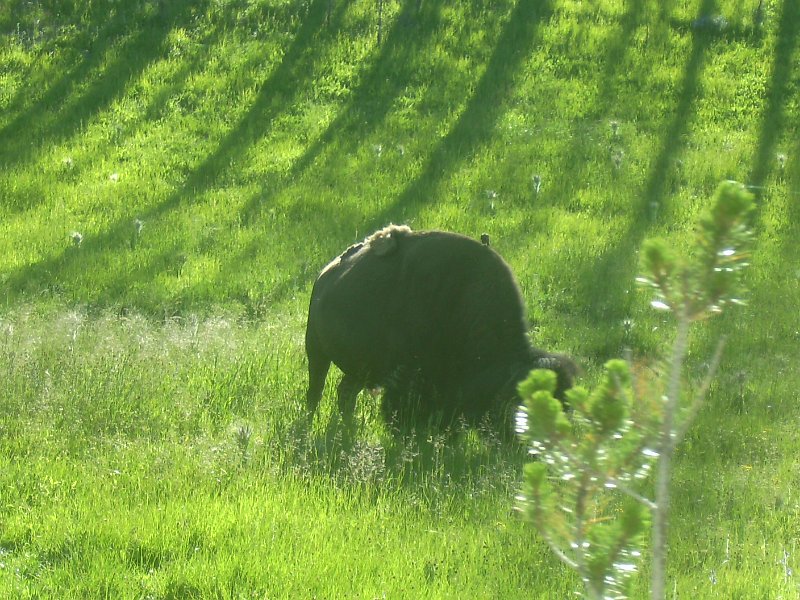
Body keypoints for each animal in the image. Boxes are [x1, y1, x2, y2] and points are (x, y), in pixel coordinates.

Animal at [304, 225, 576, 426]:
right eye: (519, 407)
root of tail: (326, 273)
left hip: (359, 369)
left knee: (345, 393)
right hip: (316, 350)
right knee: (316, 390)